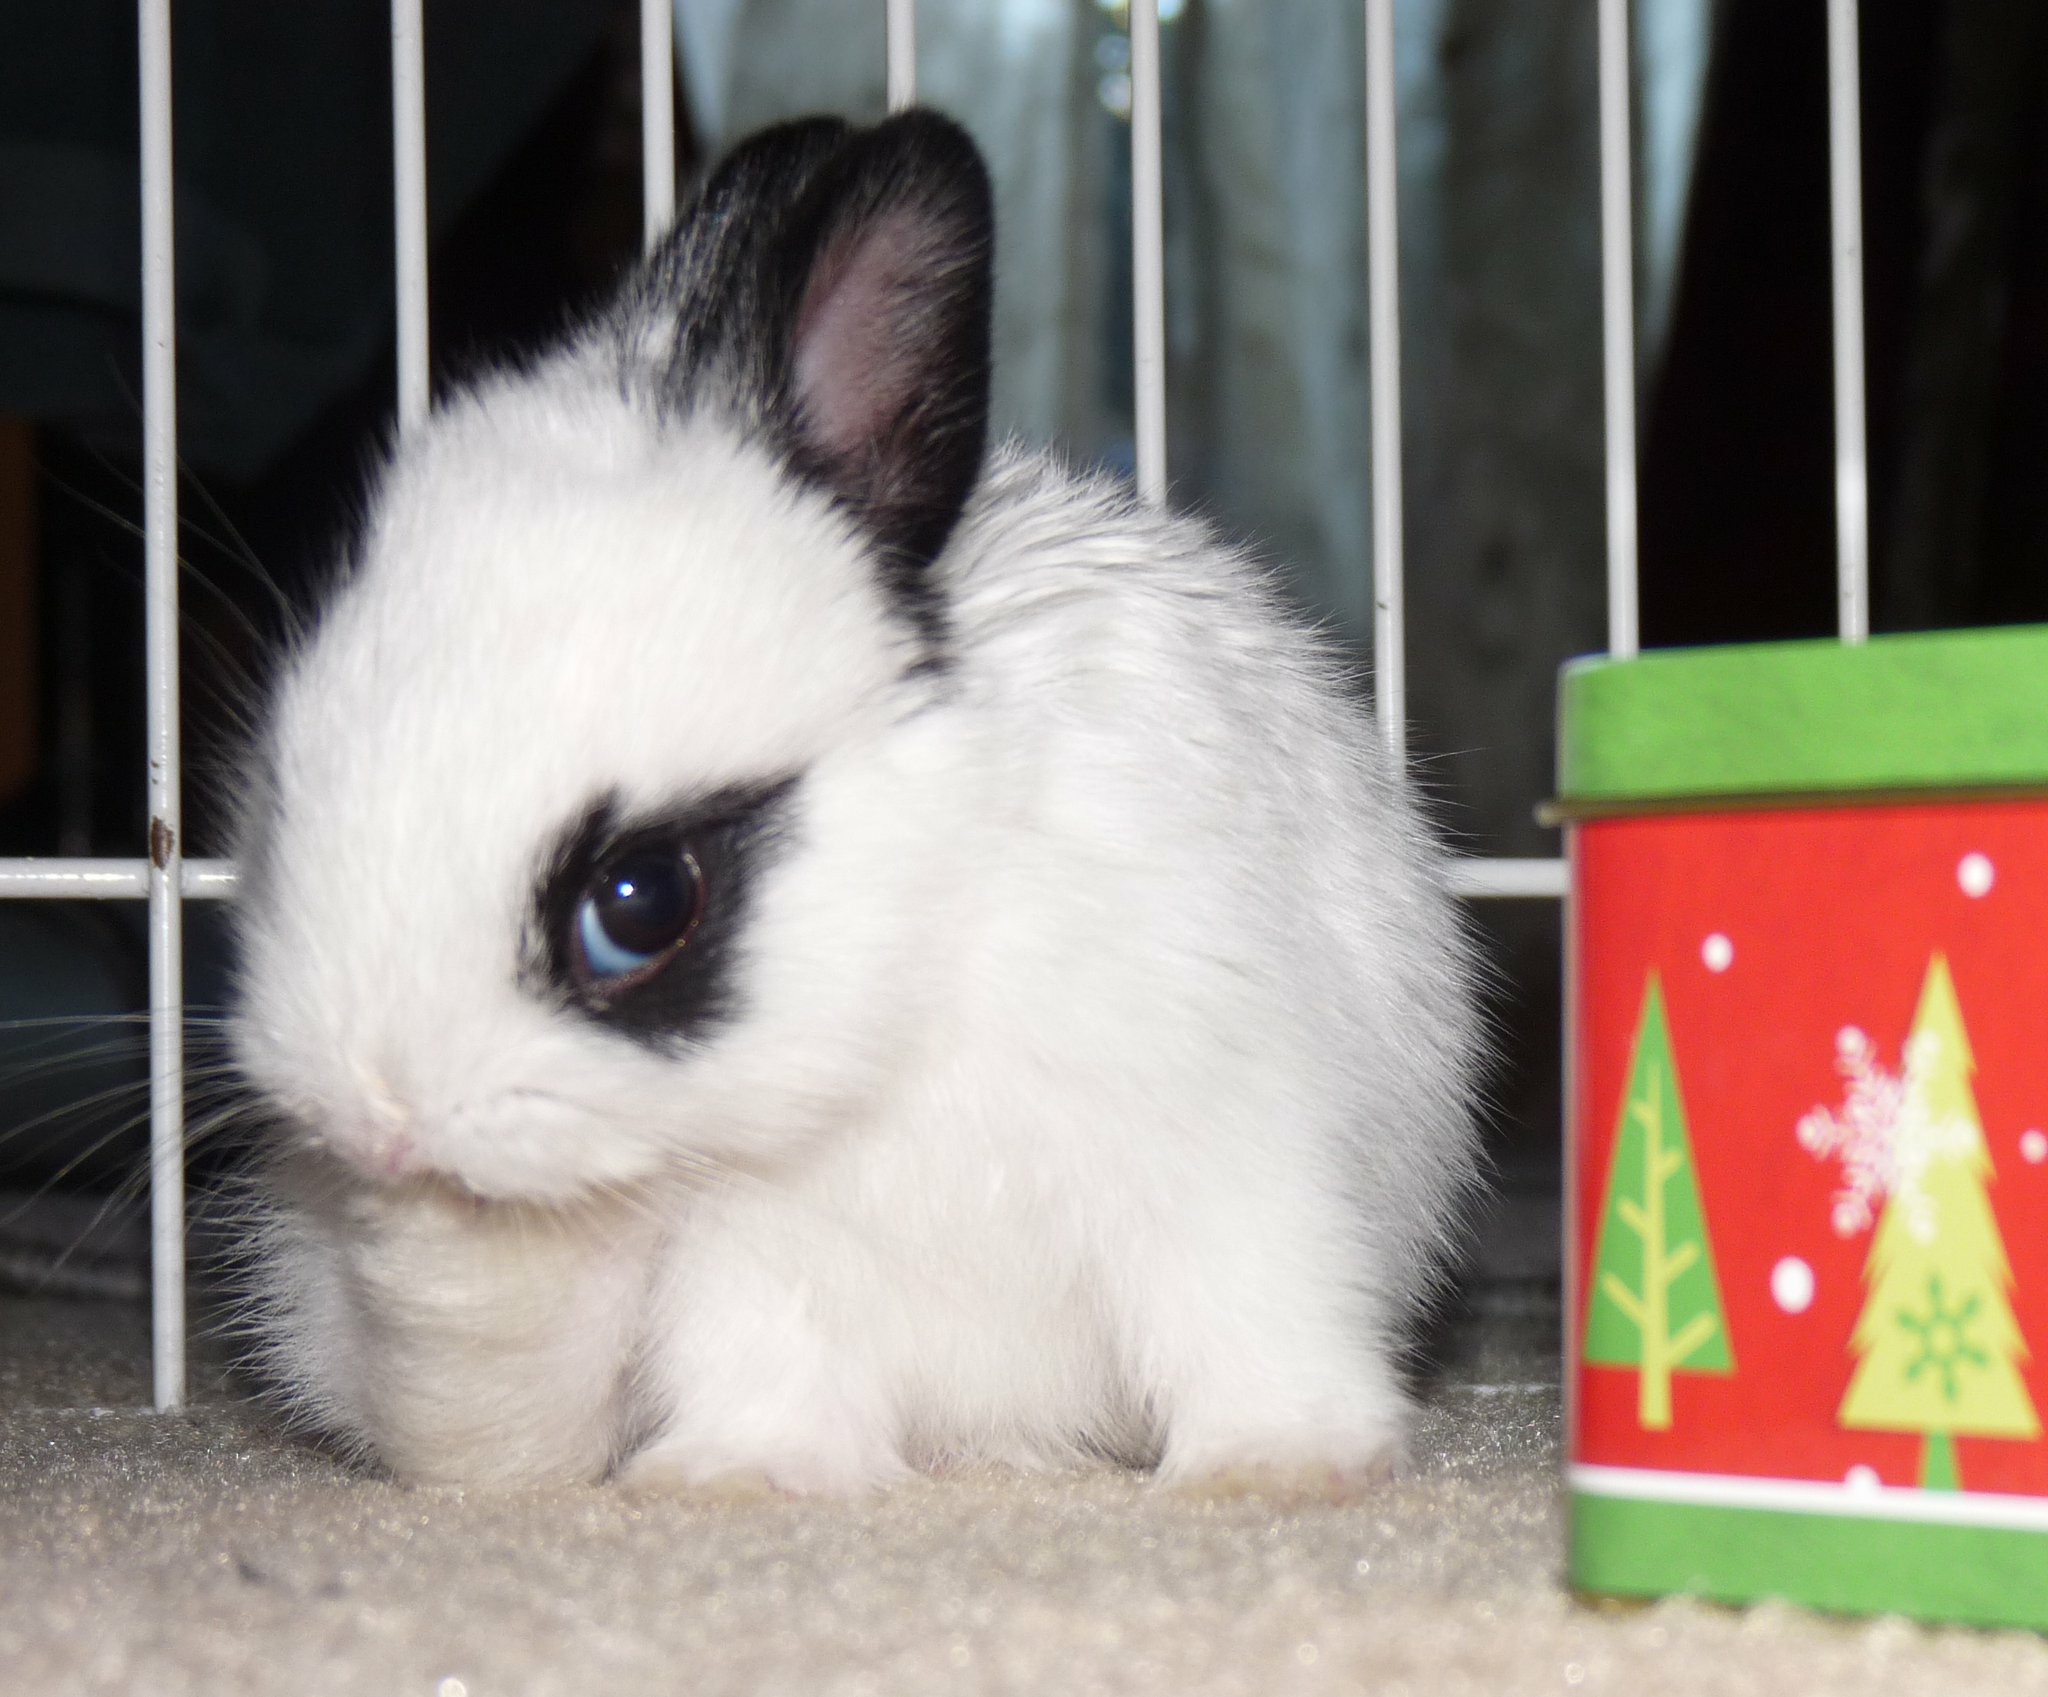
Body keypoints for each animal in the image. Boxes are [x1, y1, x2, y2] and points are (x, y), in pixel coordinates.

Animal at [227, 109, 1486, 1495]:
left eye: (637, 900)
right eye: (283, 792)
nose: (377, 1121)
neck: (906, 988)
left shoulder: (1225, 1146)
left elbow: (1249, 1314)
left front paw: (1272, 1468)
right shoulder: (749, 1259)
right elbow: (762, 1364)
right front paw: (743, 1479)